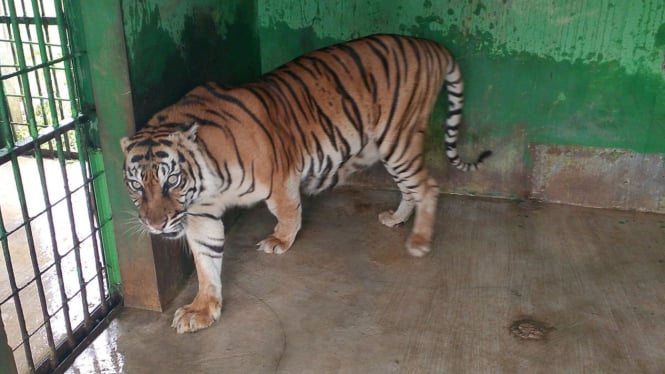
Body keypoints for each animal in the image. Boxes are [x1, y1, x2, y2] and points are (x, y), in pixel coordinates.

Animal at [122, 34, 490, 334]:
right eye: (137, 186)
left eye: (171, 180)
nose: (155, 225)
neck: (204, 185)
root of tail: (430, 44)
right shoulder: (200, 215)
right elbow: (206, 260)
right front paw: (202, 309)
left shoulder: (279, 175)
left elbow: (287, 211)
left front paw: (280, 241)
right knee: (411, 187)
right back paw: (397, 219)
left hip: (398, 139)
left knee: (427, 186)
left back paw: (419, 240)